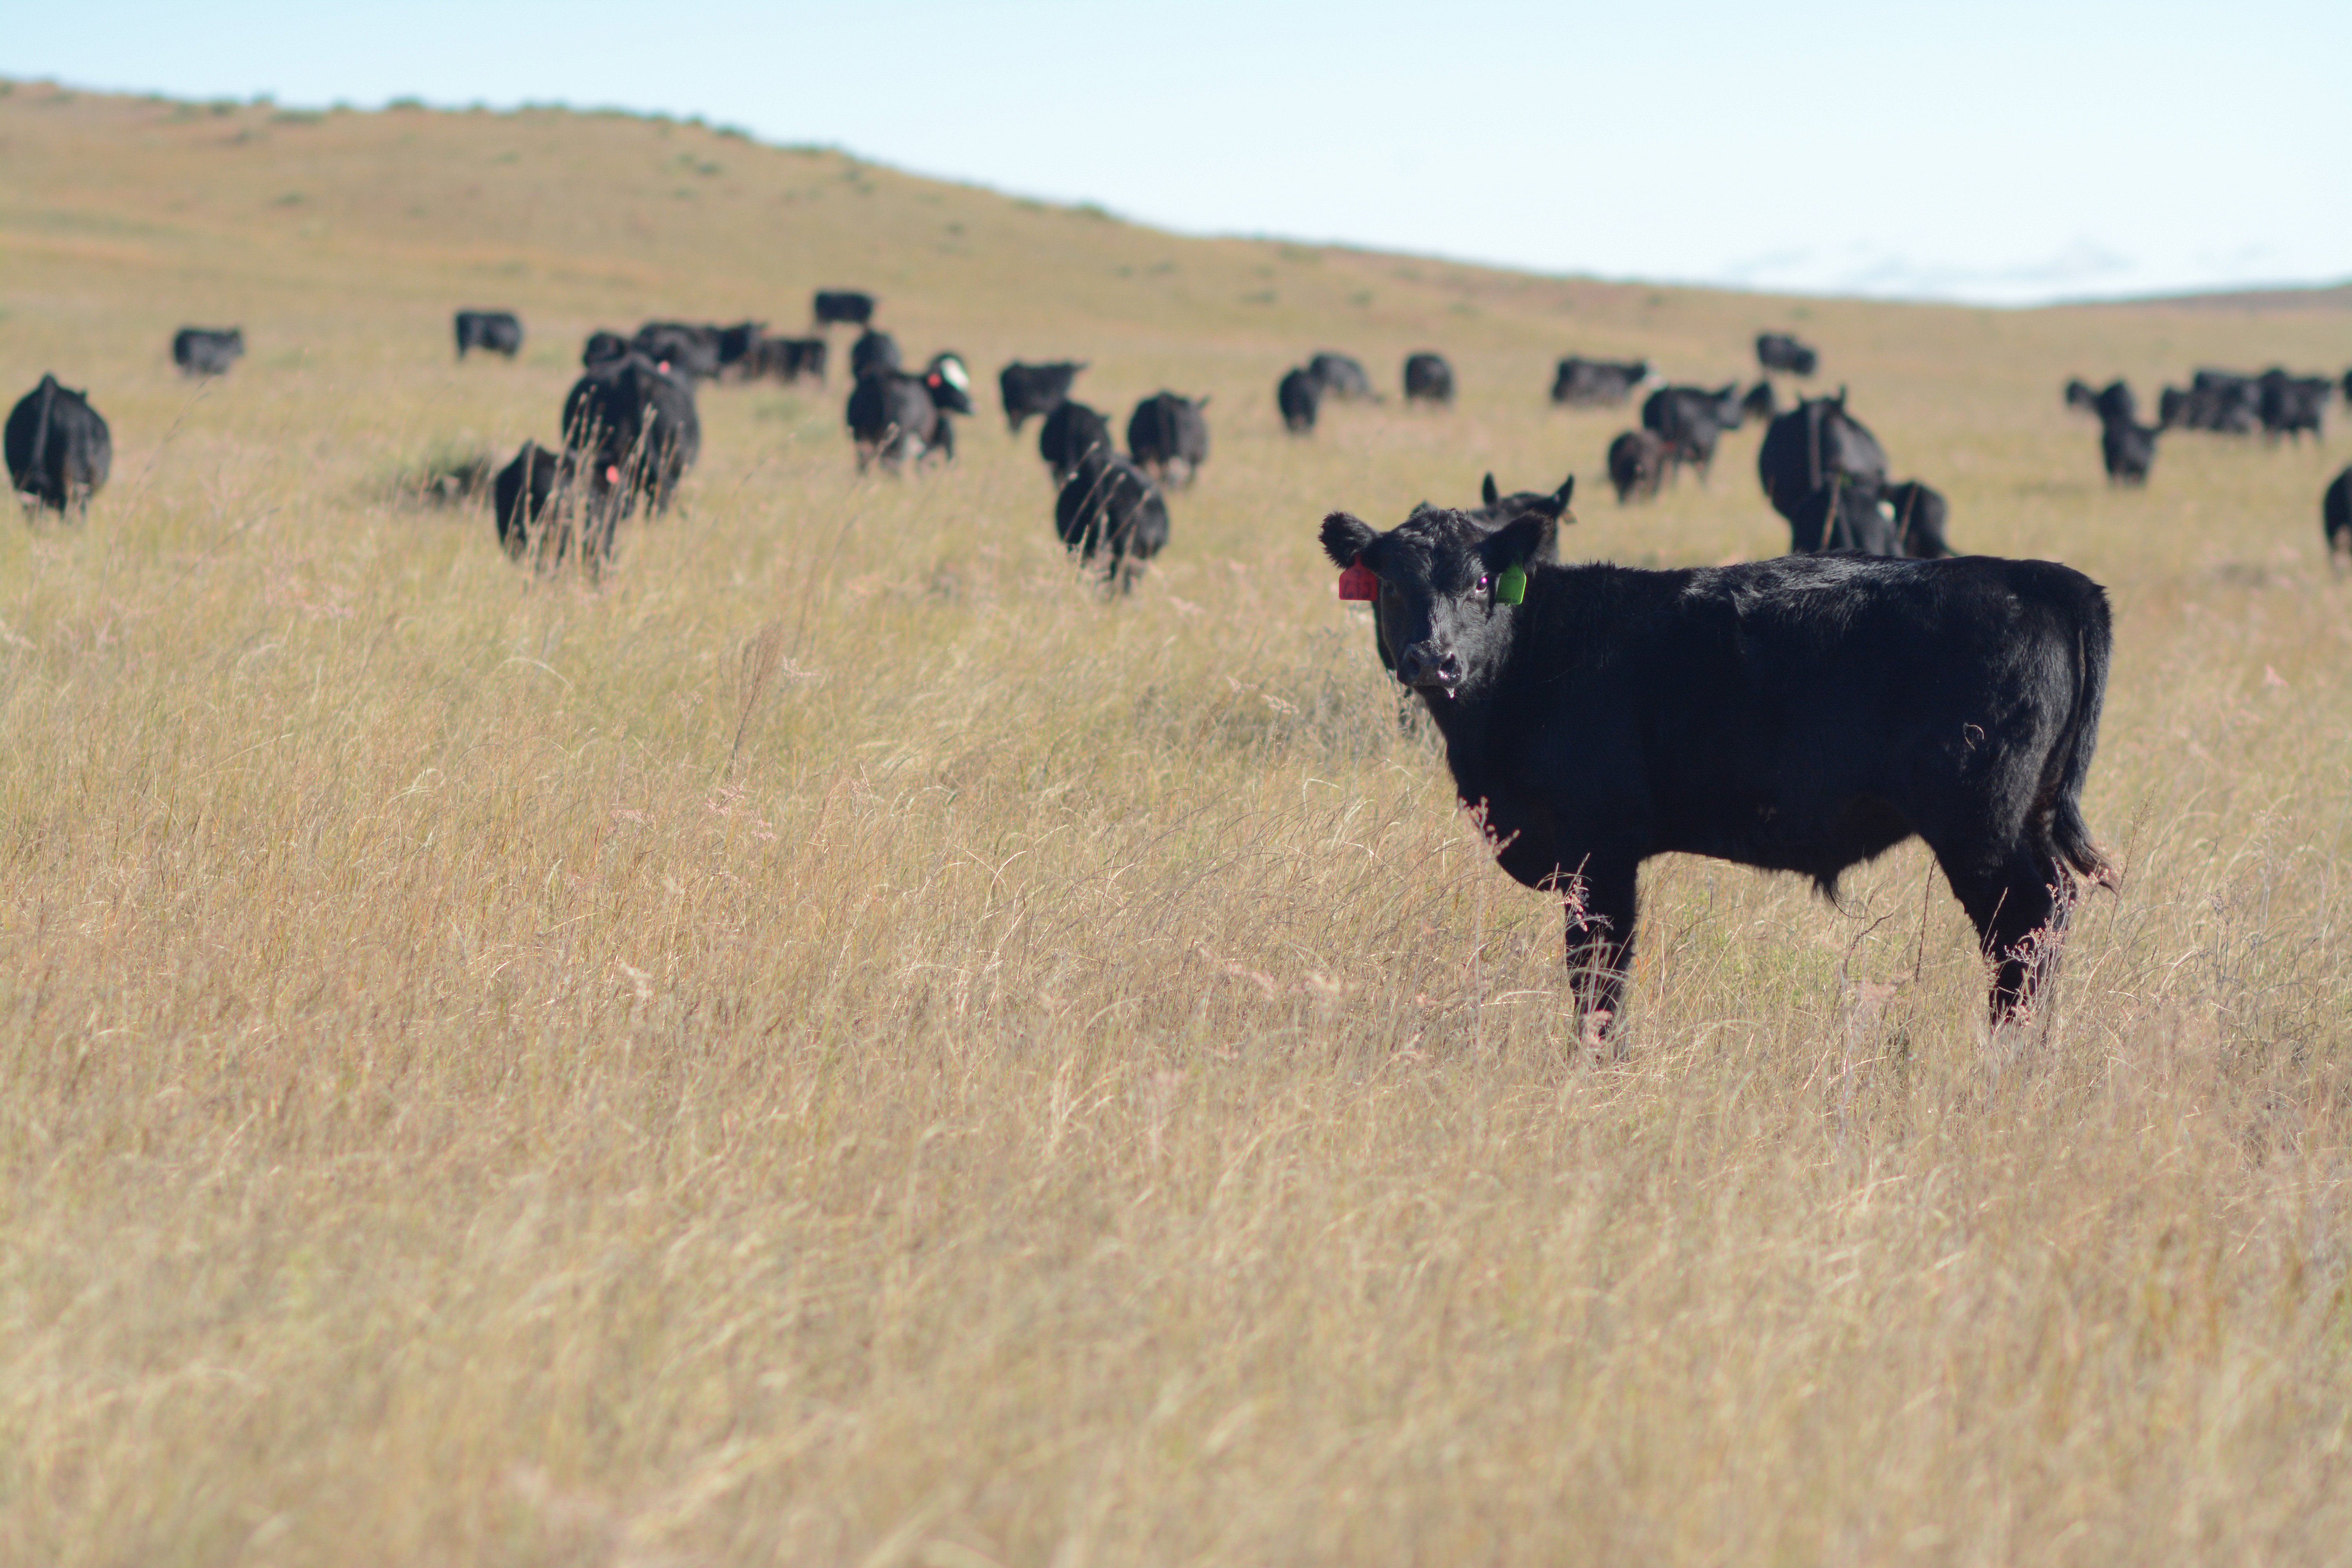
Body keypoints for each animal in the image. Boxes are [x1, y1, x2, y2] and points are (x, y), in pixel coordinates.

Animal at [846, 352, 973, 472]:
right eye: (949, 385)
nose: (973, 408)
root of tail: (882, 381)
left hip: (864, 436)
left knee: (866, 462)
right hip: (899, 438)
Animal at [1316, 504, 2115, 1037]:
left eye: (1483, 581)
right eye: (1390, 585)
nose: (1434, 658)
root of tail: (2037, 575)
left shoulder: (1598, 849)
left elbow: (1600, 973)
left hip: (1981, 823)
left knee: (2025, 925)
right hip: (2026, 815)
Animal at [1643, 383, 1745, 478]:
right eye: (1736, 402)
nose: (1739, 423)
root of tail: (1669, 395)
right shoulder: (1709, 448)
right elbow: (1703, 473)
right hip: (1681, 444)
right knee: (1675, 465)